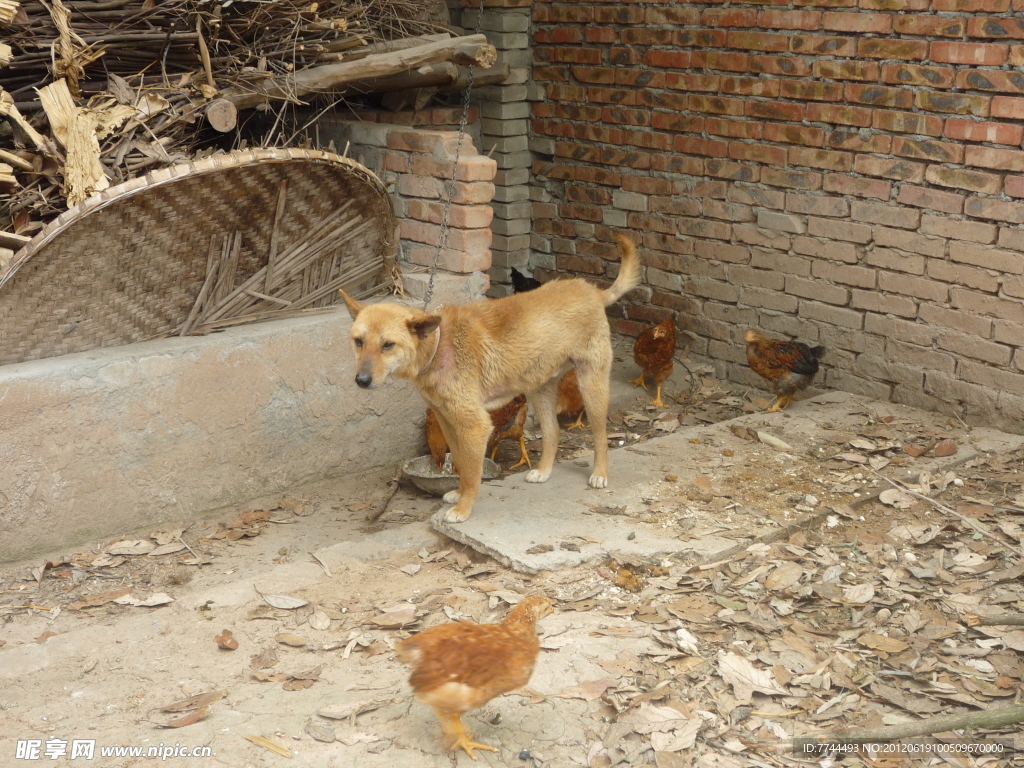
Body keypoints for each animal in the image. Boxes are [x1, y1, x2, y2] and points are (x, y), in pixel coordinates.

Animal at [339, 234, 634, 524]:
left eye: (388, 345)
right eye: (358, 341)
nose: (361, 380)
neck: (438, 346)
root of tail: (592, 291)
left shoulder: (475, 425)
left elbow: (472, 473)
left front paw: (463, 508)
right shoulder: (447, 421)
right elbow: (459, 463)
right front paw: (458, 494)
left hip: (591, 386)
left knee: (600, 435)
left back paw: (600, 474)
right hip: (541, 391)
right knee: (553, 432)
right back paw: (543, 471)